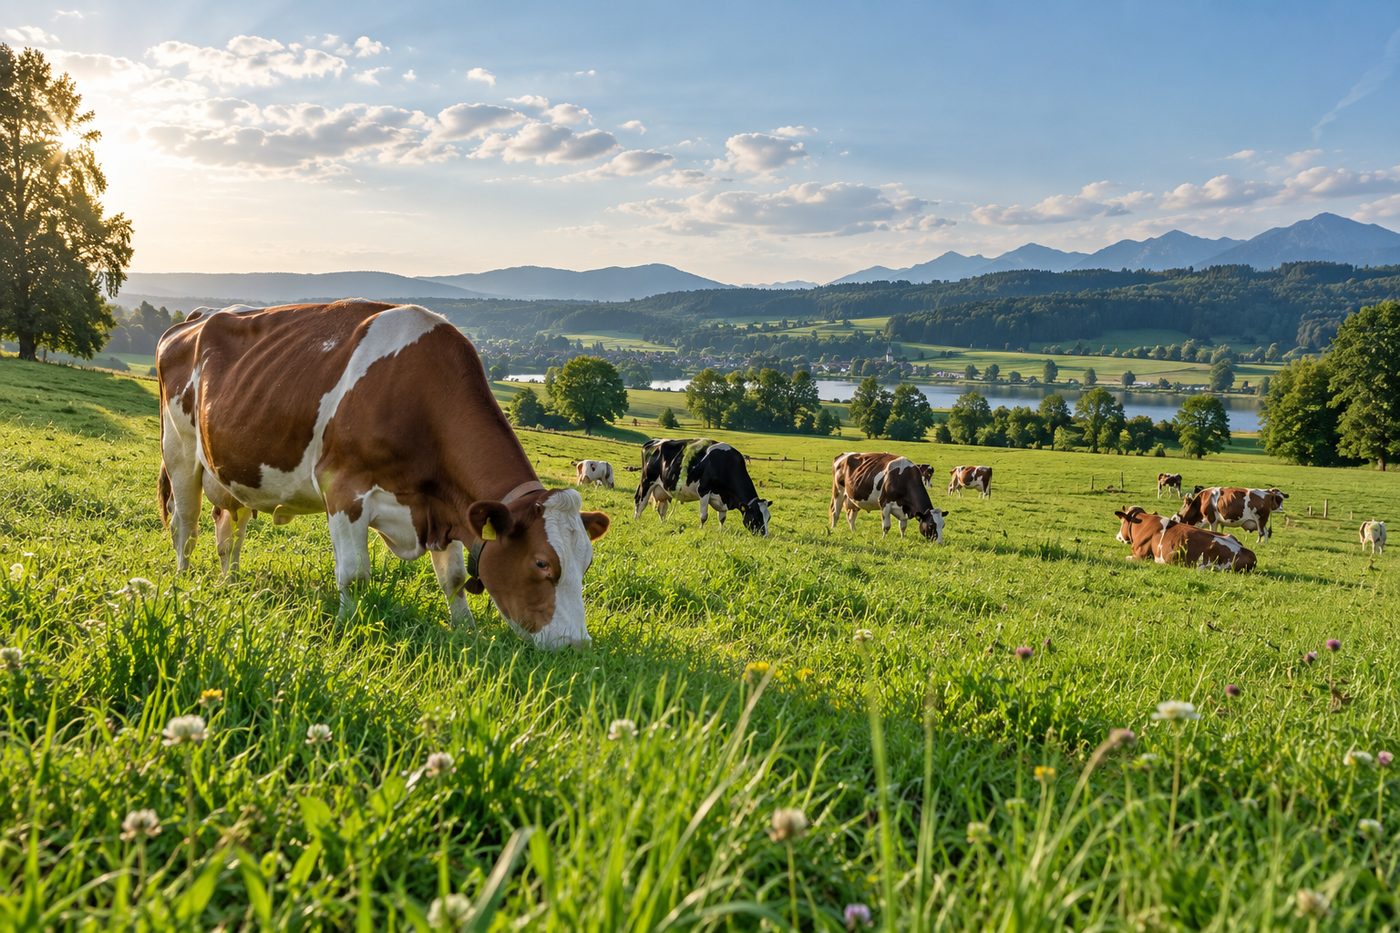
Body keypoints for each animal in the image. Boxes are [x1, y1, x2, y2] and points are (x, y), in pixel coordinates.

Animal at [155, 300, 610, 649]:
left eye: (587, 564)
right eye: (541, 563)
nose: (576, 645)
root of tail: (199, 315)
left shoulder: (445, 506)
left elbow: (454, 578)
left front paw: (466, 630)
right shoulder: (343, 490)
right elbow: (355, 576)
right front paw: (347, 628)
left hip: (234, 474)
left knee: (230, 533)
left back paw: (230, 582)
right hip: (179, 450)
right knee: (185, 524)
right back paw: (182, 581)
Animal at [632, 438, 771, 535]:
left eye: (768, 518)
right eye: (756, 518)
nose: (765, 536)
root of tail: (653, 441)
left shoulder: (723, 499)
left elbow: (722, 518)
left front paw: (721, 531)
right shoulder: (704, 490)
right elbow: (704, 516)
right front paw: (701, 529)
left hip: (662, 489)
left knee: (661, 509)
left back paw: (663, 523)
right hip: (647, 481)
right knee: (640, 502)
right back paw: (637, 521)